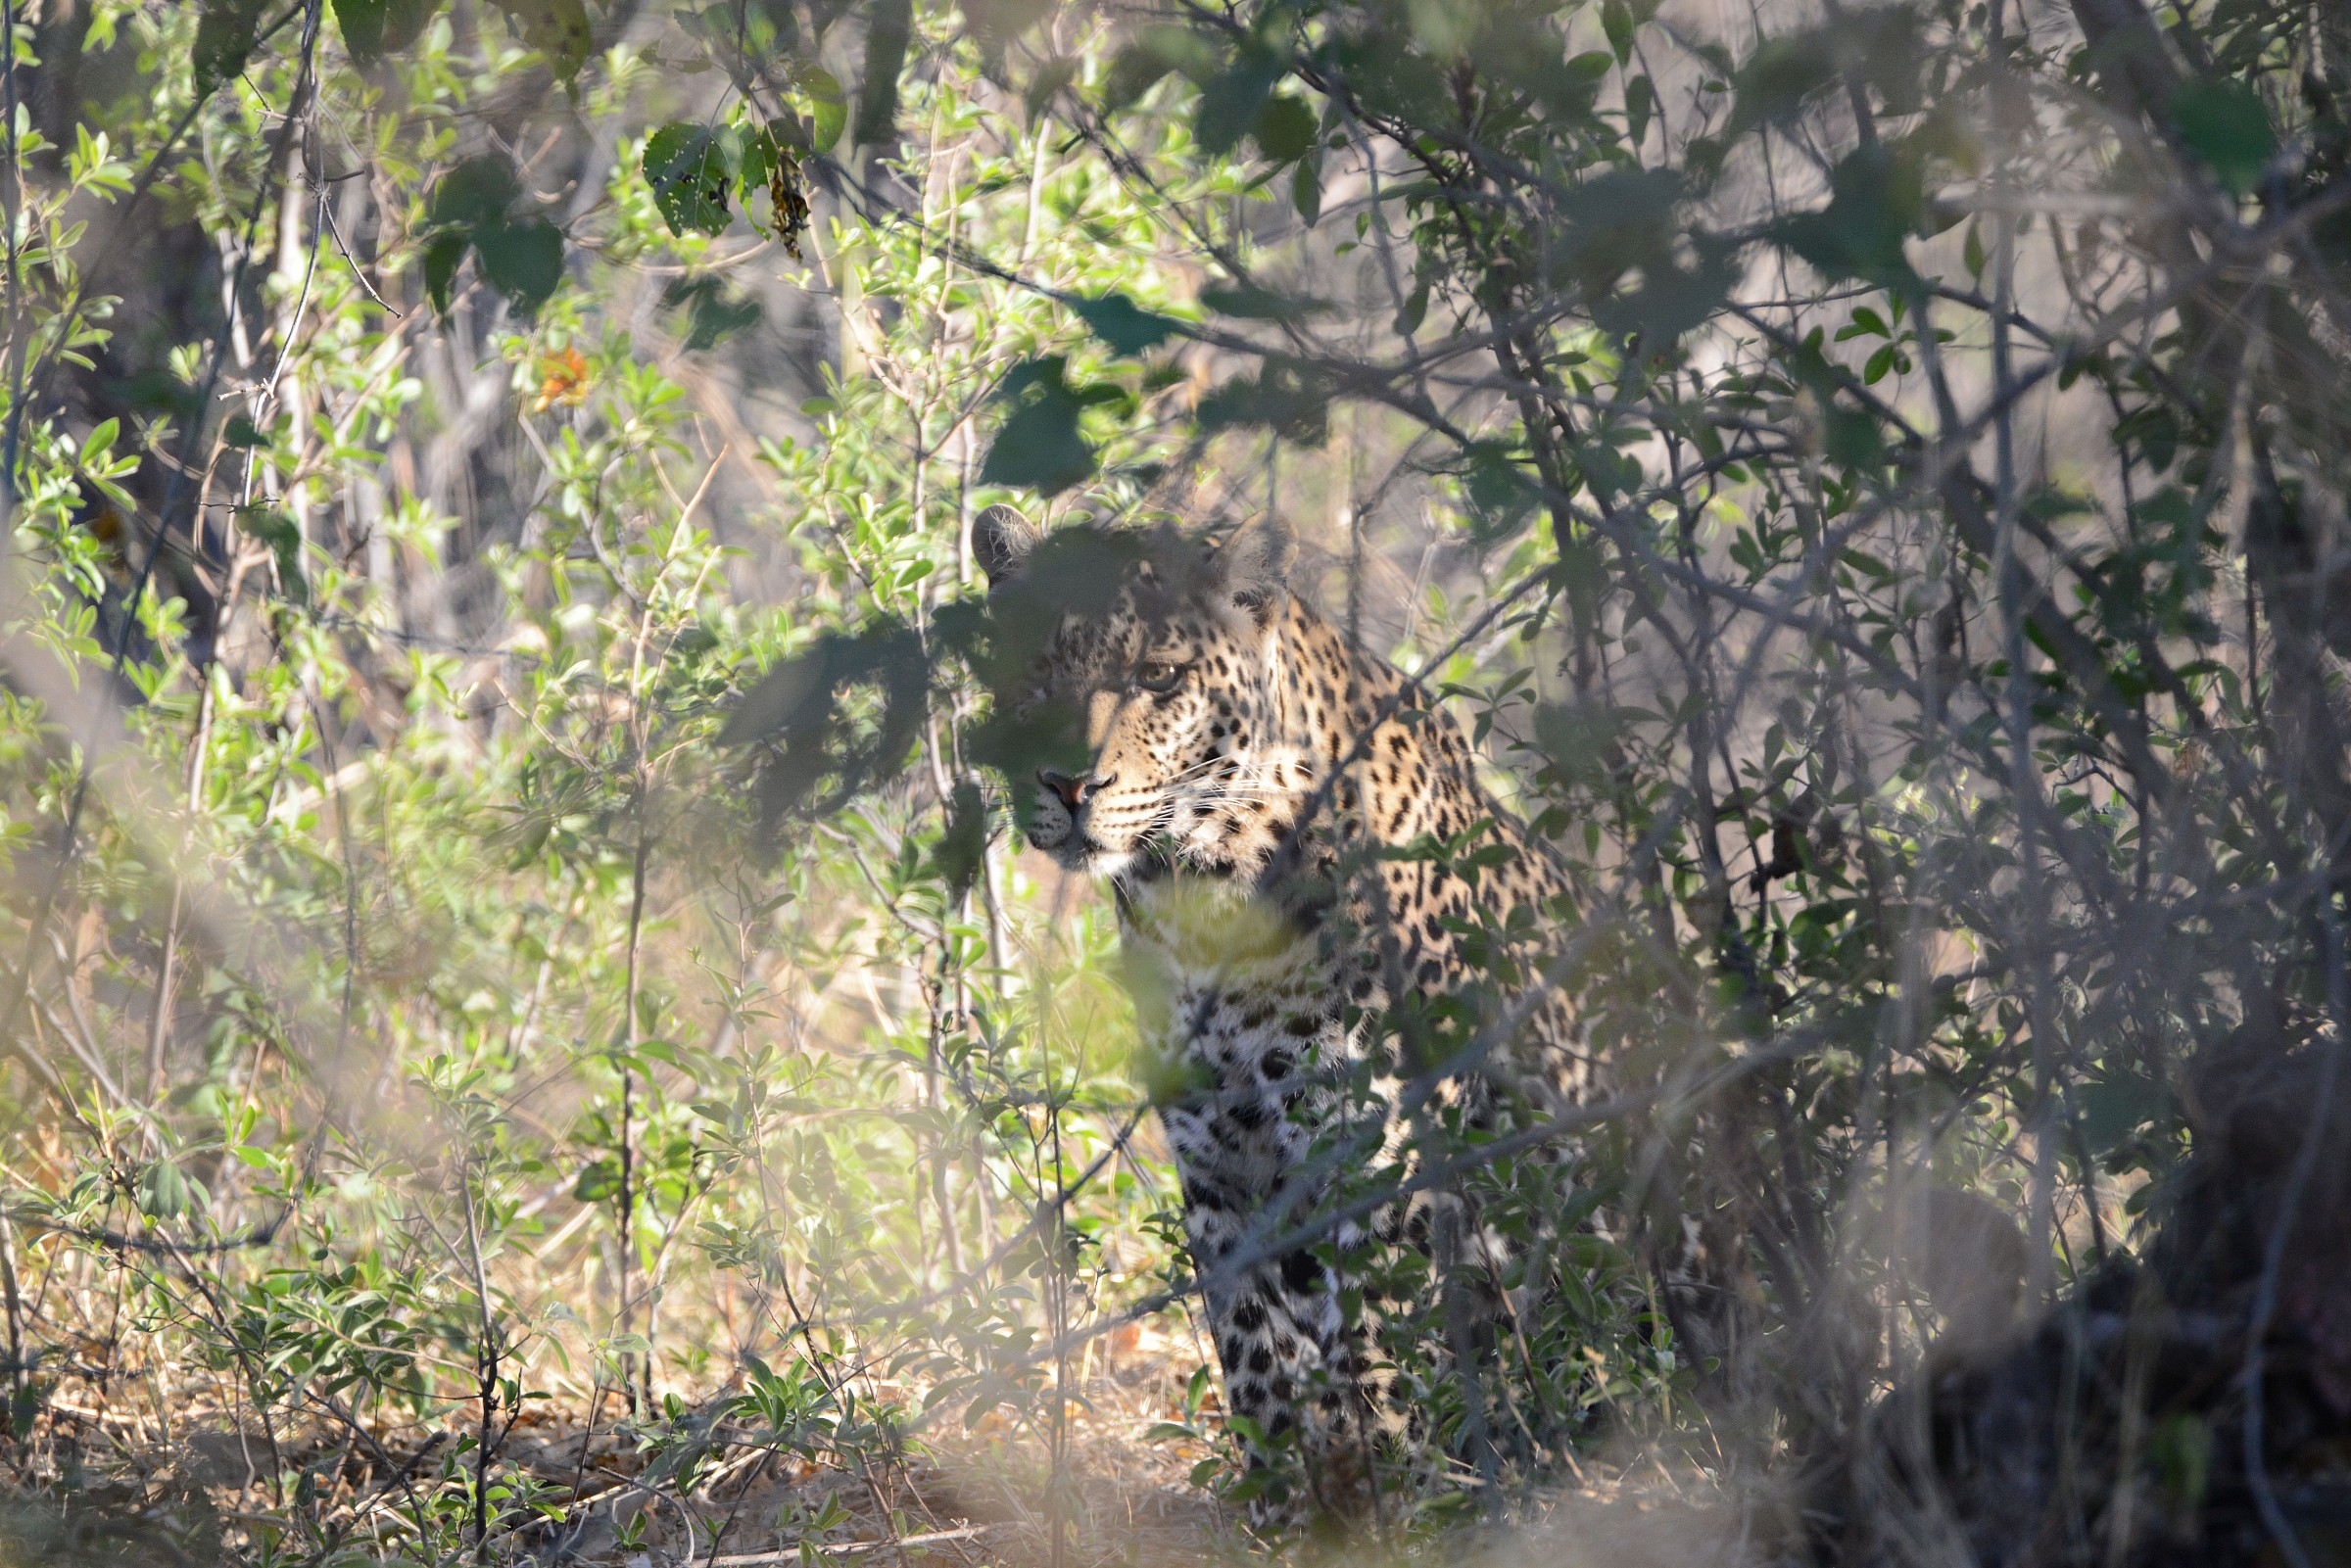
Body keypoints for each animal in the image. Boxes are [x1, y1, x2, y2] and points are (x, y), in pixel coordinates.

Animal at [972, 506, 1713, 1518]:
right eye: (1035, 669)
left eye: (1159, 676)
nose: (1066, 784)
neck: (1196, 893)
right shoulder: (1217, 1153)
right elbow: (1250, 1341)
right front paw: (1284, 1506)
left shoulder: (1374, 1133)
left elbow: (1380, 1330)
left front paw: (1403, 1504)